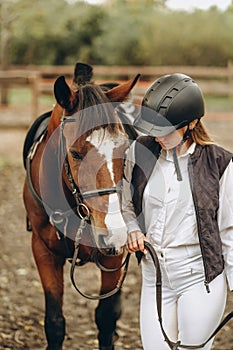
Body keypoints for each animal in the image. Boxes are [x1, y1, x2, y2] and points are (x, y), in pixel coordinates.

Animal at [23, 63, 140, 350]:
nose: (114, 230)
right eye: (75, 153)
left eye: (124, 148)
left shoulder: (115, 254)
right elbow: (54, 322)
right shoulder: (43, 251)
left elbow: (106, 317)